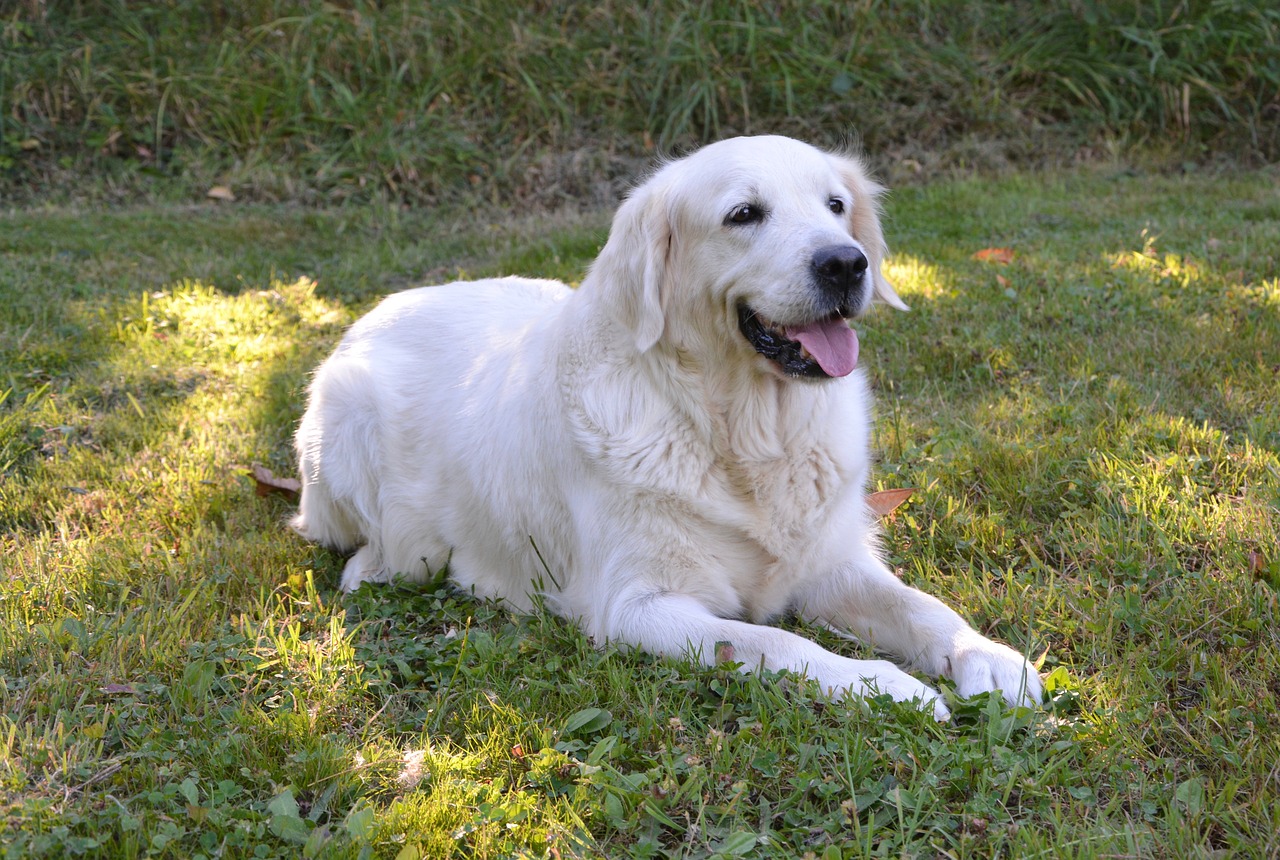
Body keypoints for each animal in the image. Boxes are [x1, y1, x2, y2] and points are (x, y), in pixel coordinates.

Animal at [294, 136, 1044, 716]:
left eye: (835, 206)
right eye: (744, 214)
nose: (845, 262)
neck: (742, 429)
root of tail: (373, 310)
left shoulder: (828, 562)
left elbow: (921, 606)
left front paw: (988, 656)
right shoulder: (639, 605)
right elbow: (774, 641)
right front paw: (886, 686)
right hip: (355, 439)